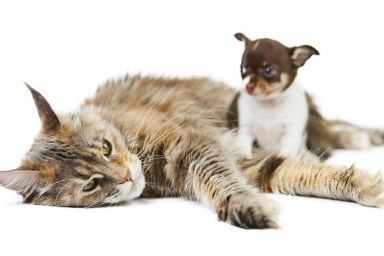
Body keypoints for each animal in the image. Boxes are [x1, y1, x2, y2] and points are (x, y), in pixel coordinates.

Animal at [0, 75, 382, 229]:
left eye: (106, 148)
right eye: (92, 184)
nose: (126, 175)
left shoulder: (195, 145)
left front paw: (369, 186)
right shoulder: (247, 164)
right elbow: (293, 173)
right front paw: (248, 208)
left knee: (330, 127)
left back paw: (363, 136)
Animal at [234, 32, 320, 160]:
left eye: (268, 70)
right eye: (242, 68)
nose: (248, 85)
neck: (269, 103)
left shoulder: (290, 135)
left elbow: (286, 156)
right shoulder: (246, 130)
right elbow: (243, 147)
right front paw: (244, 157)